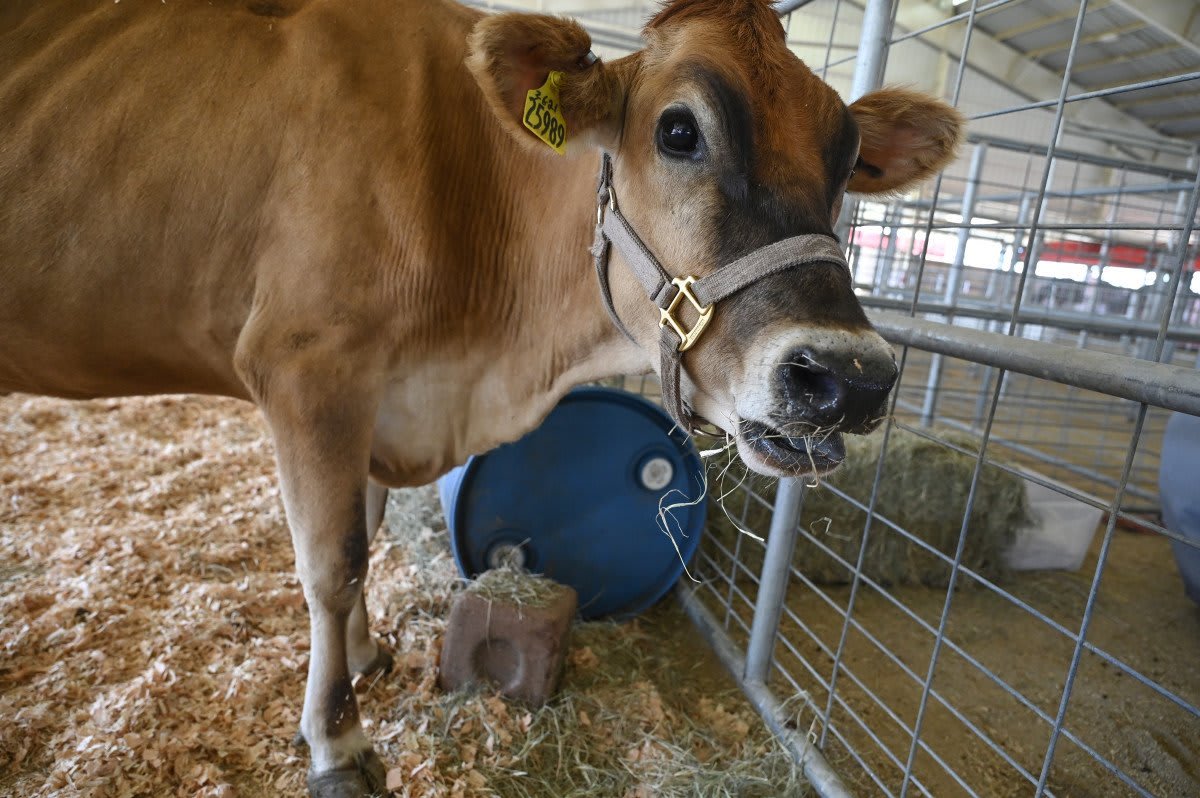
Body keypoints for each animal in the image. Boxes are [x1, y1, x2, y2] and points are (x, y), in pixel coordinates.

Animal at [0, 0, 962, 794]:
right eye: (680, 130)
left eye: (848, 158)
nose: (849, 376)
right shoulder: (309, 367)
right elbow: (333, 562)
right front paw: (337, 742)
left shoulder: (379, 392)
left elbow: (367, 534)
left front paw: (366, 657)